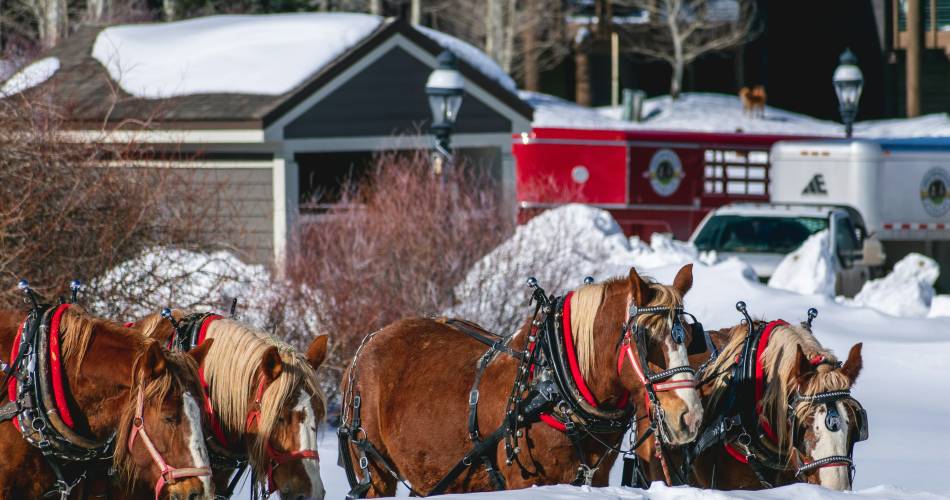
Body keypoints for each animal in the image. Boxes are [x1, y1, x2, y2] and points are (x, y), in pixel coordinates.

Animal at [338, 266, 712, 496]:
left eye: (689, 335)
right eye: (647, 339)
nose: (690, 416)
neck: (554, 383)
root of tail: (366, 344)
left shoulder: (595, 476)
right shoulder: (522, 479)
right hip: (375, 471)